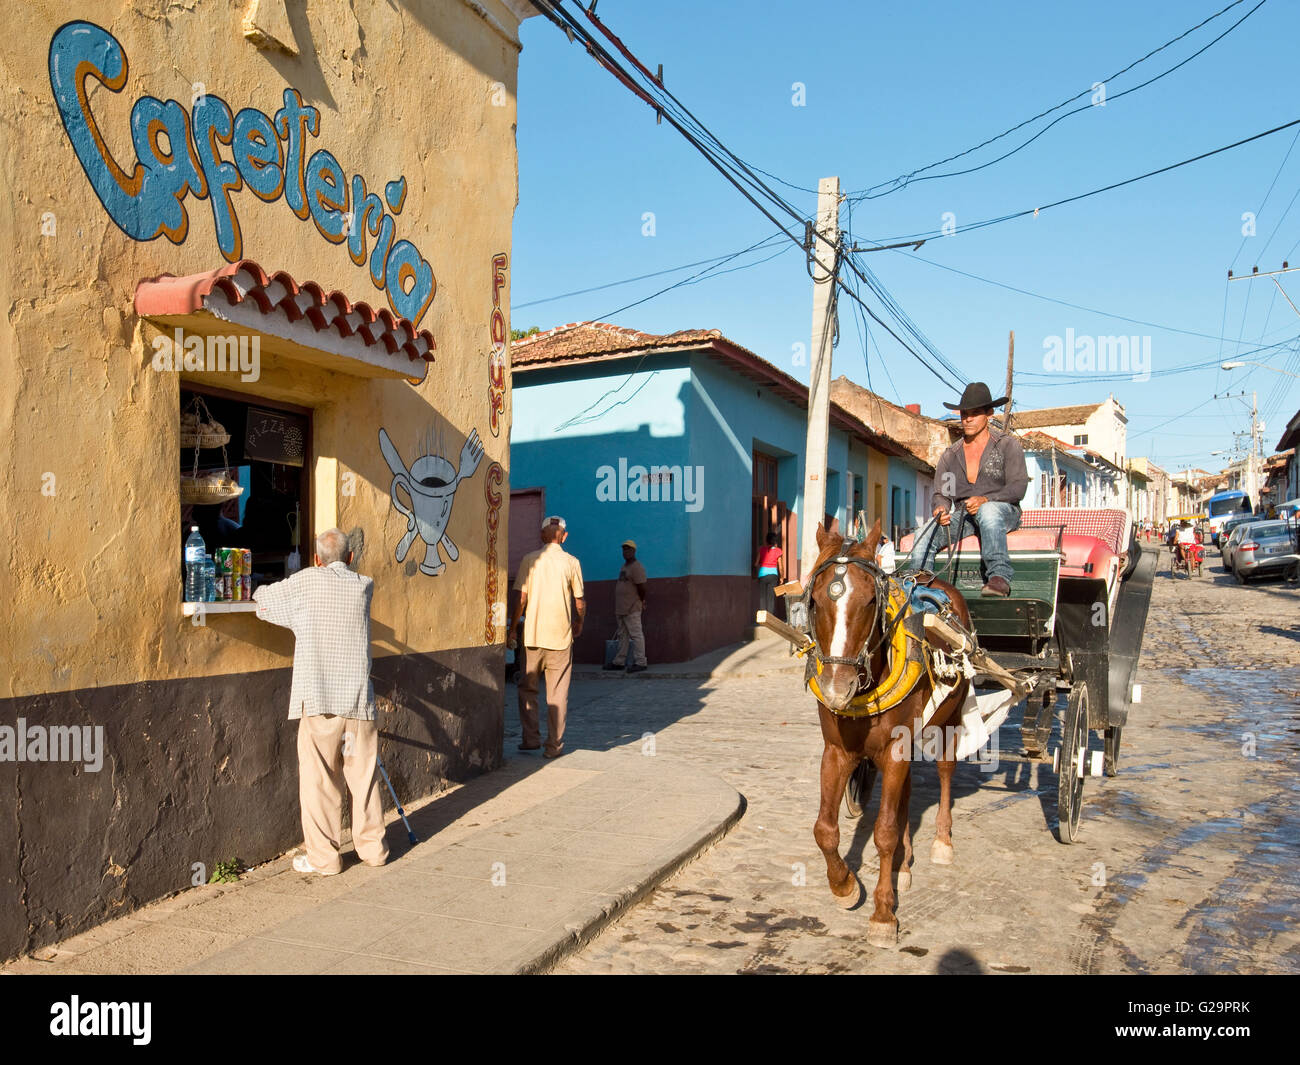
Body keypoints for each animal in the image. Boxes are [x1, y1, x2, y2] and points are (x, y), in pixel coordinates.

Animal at [800, 520, 977, 946]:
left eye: (869, 602)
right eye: (814, 602)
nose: (836, 686)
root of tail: (931, 578)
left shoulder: (895, 751)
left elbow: (883, 832)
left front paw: (883, 914)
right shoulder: (836, 751)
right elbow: (825, 829)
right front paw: (845, 886)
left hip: (949, 720)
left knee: (945, 773)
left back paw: (941, 842)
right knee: (907, 795)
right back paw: (905, 863)